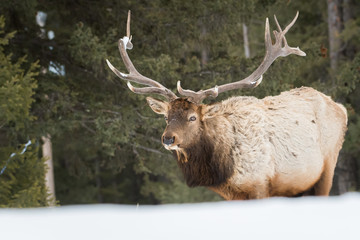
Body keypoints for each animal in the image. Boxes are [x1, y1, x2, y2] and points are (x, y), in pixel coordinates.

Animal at [106, 10, 346, 200]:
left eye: (193, 117)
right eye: (166, 117)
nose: (168, 139)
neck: (224, 170)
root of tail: (341, 108)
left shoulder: (260, 185)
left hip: (328, 166)